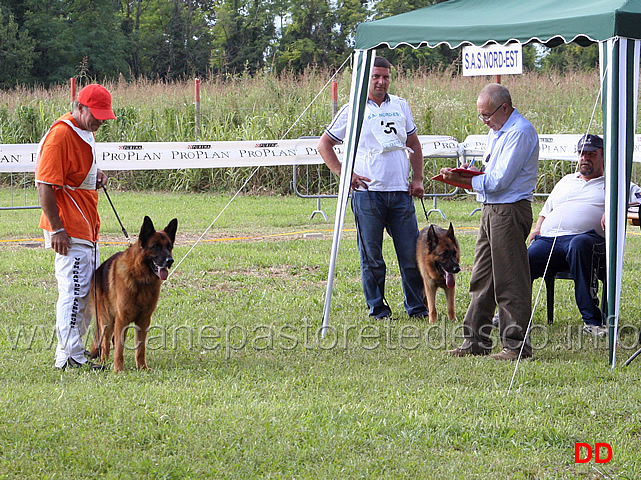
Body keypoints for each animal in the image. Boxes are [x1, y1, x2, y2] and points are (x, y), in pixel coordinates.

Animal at [89, 217, 176, 372]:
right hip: (107, 320)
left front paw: (142, 367)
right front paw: (118, 370)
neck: (140, 278)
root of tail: (98, 270)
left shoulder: (144, 321)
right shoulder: (122, 319)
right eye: (156, 247)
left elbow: (140, 348)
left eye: (169, 247)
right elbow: (119, 348)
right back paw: (104, 362)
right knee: (105, 343)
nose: (170, 261)